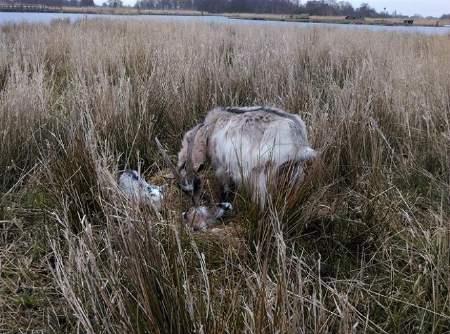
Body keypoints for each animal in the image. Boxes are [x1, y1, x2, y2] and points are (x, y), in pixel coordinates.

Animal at [176, 106, 316, 206]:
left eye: (183, 165)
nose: (194, 203)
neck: (211, 129)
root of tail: (297, 136)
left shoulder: (222, 167)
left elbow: (225, 188)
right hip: (295, 170)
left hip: (264, 173)